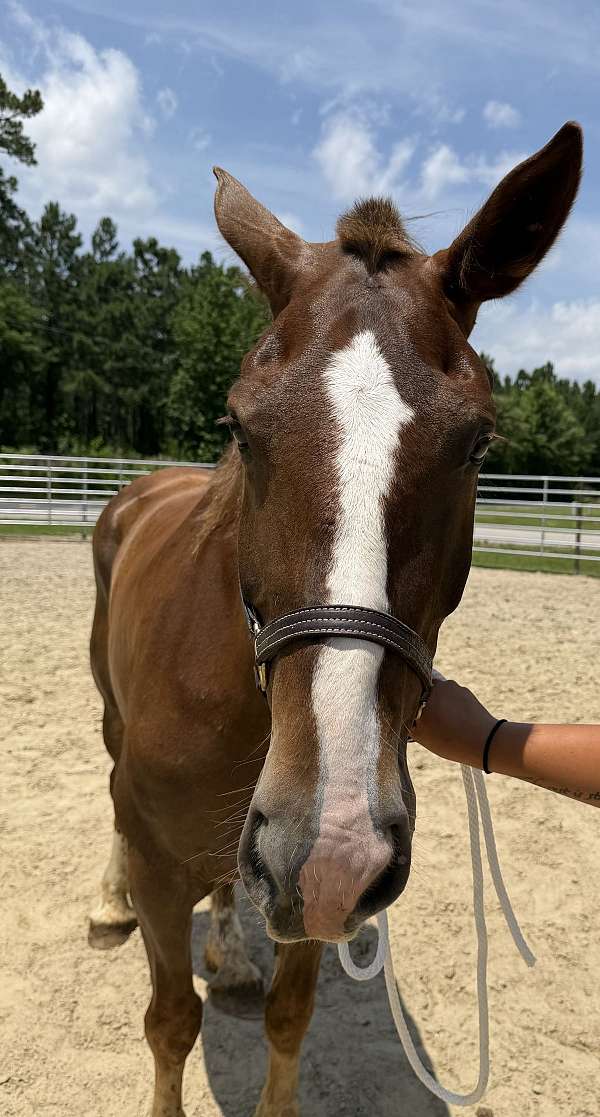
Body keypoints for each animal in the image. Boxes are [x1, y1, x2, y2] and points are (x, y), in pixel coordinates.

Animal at [88, 122, 582, 1117]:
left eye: (479, 442)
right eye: (240, 425)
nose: (333, 837)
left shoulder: (313, 887)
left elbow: (287, 1020)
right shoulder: (176, 864)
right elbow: (169, 1021)